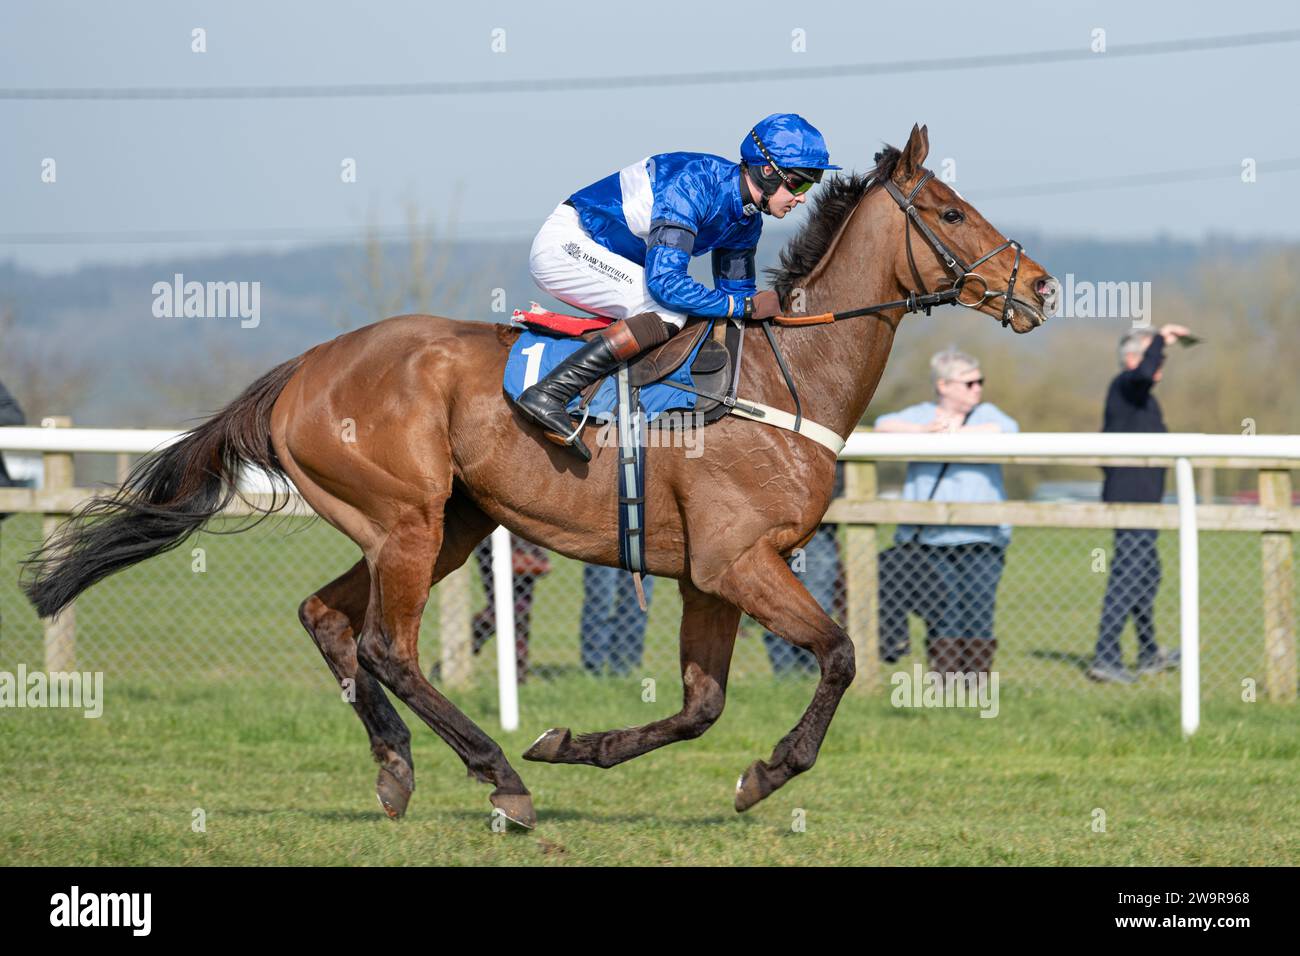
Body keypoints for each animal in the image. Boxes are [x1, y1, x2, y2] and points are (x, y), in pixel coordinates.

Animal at [20, 127, 1055, 832]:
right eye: (952, 213)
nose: (1042, 287)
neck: (777, 376)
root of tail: (307, 365)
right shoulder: (739, 562)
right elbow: (837, 656)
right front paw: (765, 774)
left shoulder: (710, 576)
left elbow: (700, 706)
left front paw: (576, 745)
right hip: (407, 519)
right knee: (388, 646)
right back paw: (499, 780)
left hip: (445, 525)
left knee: (327, 619)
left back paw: (398, 770)